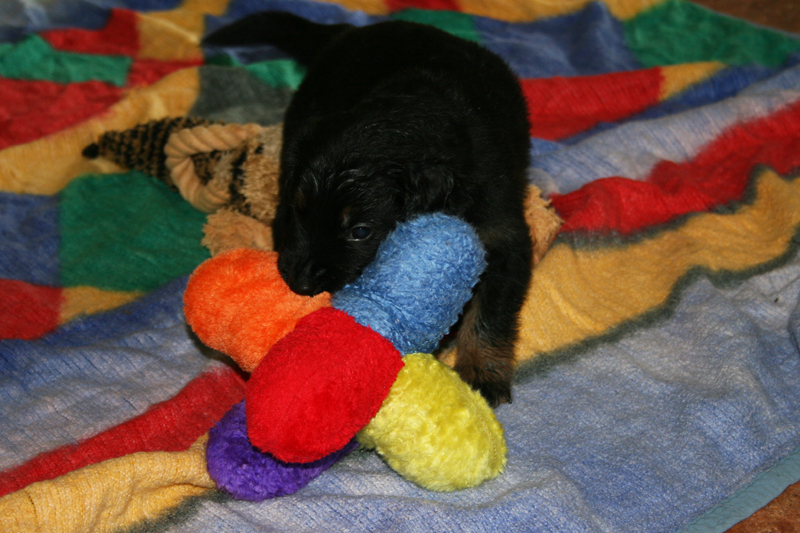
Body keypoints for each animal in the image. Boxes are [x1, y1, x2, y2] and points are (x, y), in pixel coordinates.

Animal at [203, 12, 533, 407]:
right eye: (299, 212)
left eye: (360, 231)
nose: (299, 283)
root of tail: (349, 31)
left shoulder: (504, 235)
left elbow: (491, 311)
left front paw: (482, 371)